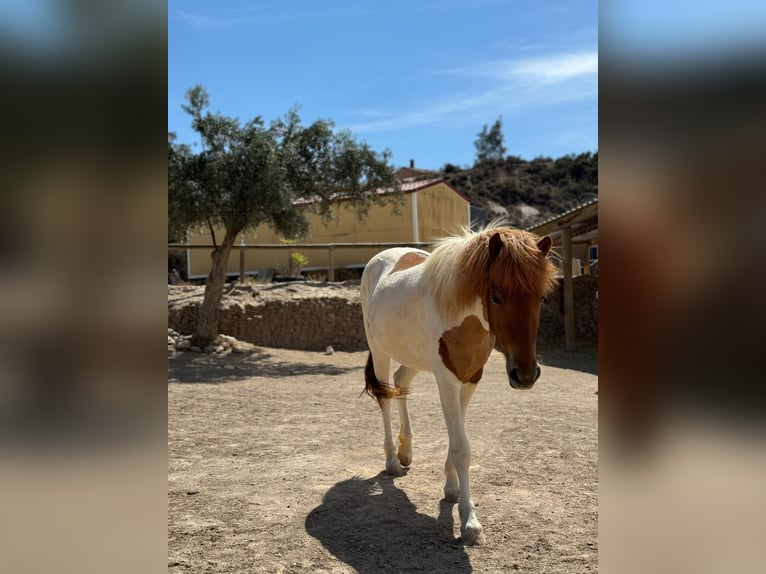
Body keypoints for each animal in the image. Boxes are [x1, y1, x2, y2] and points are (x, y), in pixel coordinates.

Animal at [360, 225, 556, 545]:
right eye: (497, 297)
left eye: (540, 298)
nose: (525, 375)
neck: (461, 315)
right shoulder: (447, 381)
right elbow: (462, 448)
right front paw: (470, 522)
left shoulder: (470, 379)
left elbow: (456, 440)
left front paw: (451, 489)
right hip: (380, 351)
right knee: (386, 397)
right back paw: (392, 461)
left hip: (414, 357)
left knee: (401, 382)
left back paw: (405, 452)